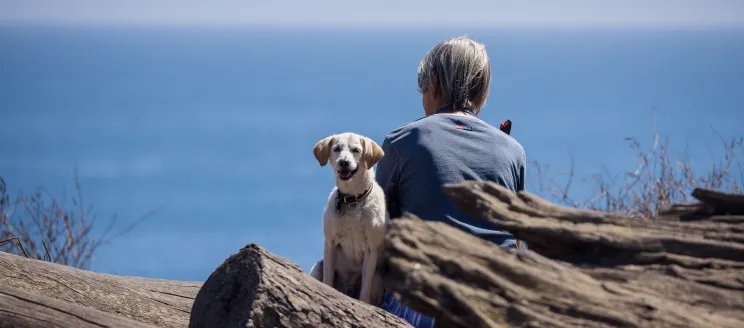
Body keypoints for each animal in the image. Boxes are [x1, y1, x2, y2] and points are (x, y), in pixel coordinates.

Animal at [310, 131, 386, 304]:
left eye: (356, 150)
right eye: (336, 149)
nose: (344, 162)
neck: (352, 199)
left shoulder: (371, 248)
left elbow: (365, 287)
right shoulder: (330, 243)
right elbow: (328, 279)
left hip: (378, 277)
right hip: (317, 267)